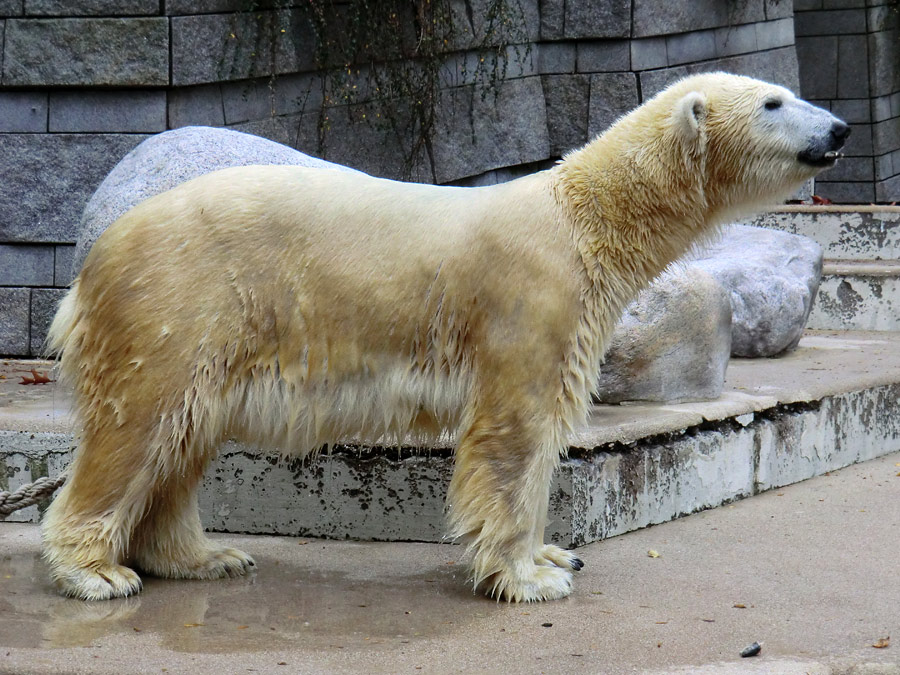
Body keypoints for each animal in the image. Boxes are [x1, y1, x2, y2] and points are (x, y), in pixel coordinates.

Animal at [45, 72, 852, 604]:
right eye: (775, 102)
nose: (840, 129)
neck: (584, 218)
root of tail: (96, 257)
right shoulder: (531, 296)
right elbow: (514, 433)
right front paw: (530, 577)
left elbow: (543, 433)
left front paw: (555, 553)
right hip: (180, 301)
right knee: (141, 426)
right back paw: (96, 571)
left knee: (184, 436)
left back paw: (206, 556)